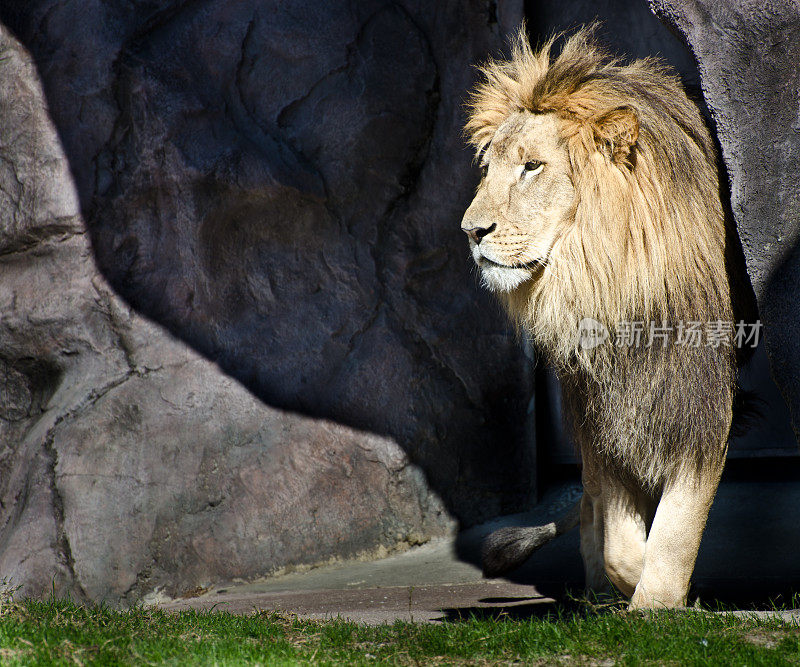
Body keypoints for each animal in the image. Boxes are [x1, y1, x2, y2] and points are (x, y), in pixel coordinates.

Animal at [460, 26, 752, 612]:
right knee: (590, 507)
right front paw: (644, 590)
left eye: (532, 166)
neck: (611, 286)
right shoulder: (602, 411)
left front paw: (661, 599)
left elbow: (677, 524)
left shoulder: (700, 405)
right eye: (489, 170)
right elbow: (620, 538)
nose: (471, 231)